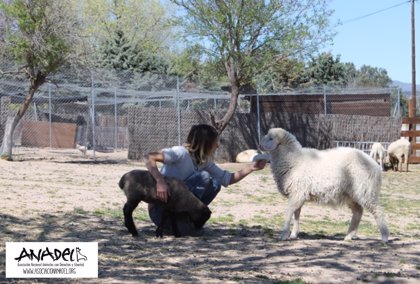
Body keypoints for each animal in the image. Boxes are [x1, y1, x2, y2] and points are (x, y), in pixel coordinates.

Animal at [260, 128, 388, 242]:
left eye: (271, 138)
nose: (260, 144)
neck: (293, 160)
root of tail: (375, 165)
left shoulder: (297, 193)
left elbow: (289, 213)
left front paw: (284, 234)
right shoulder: (298, 194)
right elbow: (297, 214)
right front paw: (293, 234)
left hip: (366, 191)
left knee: (378, 210)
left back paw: (385, 237)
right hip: (351, 194)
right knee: (358, 212)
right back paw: (349, 236)